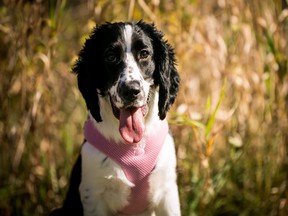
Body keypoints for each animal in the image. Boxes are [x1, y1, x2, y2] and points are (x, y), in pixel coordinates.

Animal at [49, 20, 180, 216]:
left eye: (144, 54)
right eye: (110, 56)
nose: (131, 90)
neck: (134, 146)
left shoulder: (167, 190)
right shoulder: (93, 194)